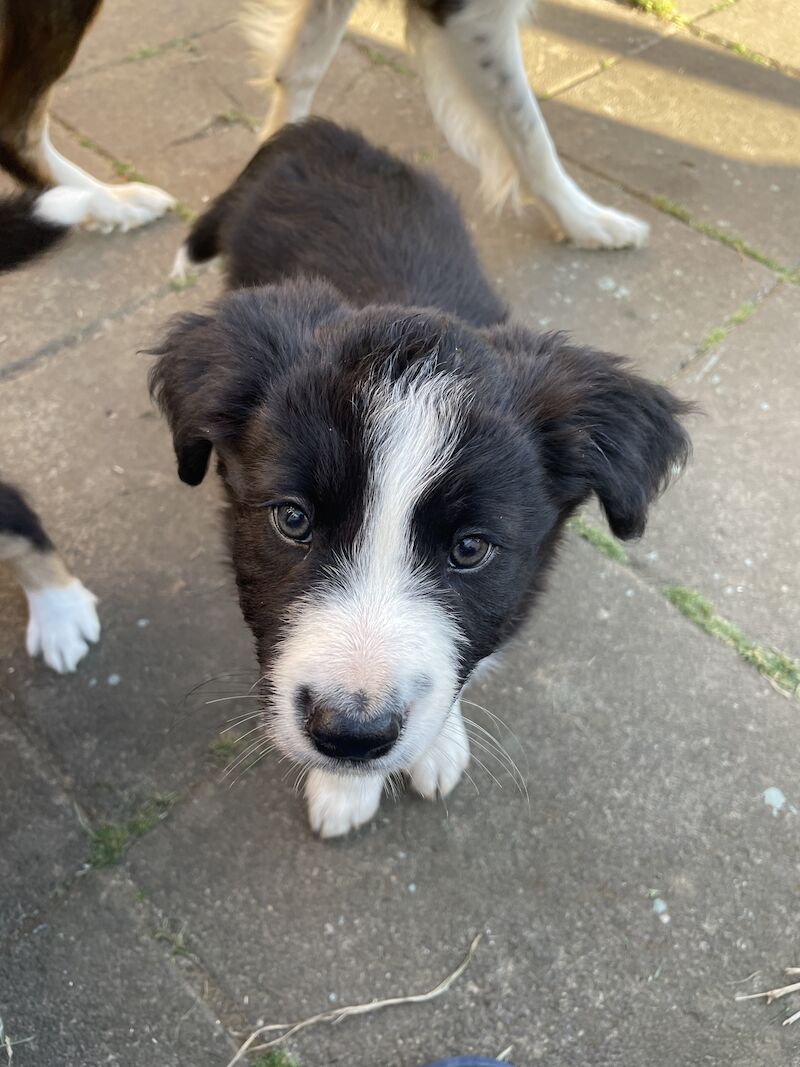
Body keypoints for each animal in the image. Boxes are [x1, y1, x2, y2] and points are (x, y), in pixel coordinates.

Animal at [150, 121, 691, 836]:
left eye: (471, 548)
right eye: (292, 519)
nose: (350, 736)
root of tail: (320, 131)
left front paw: (436, 744)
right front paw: (344, 788)